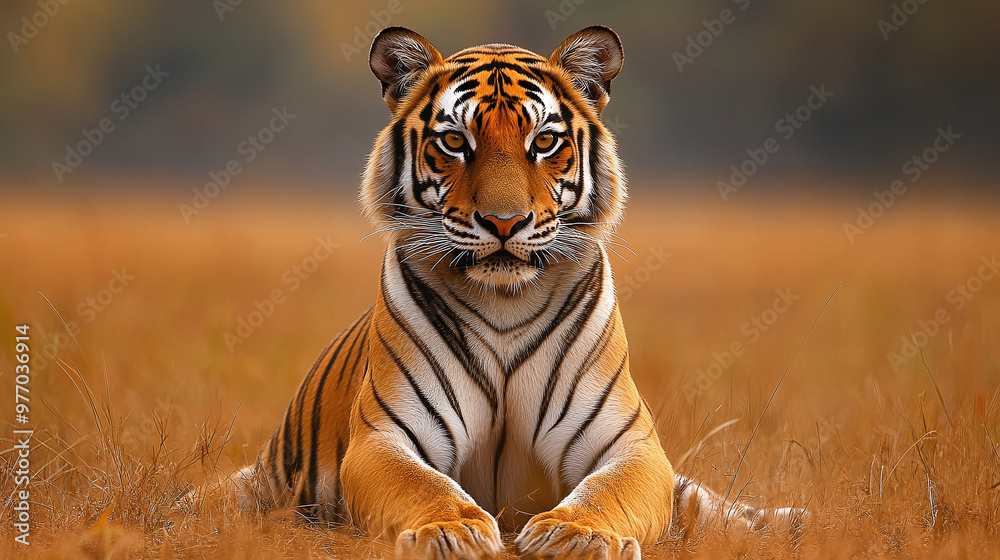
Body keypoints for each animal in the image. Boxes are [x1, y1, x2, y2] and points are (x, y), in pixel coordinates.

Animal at [192, 25, 808, 560]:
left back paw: (790, 521)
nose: (504, 222)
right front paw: (451, 531)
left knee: (714, 507)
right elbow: (424, 486)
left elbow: (608, 493)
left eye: (545, 142)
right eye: (454, 142)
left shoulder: (629, 444)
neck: (506, 301)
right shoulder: (385, 438)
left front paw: (576, 536)